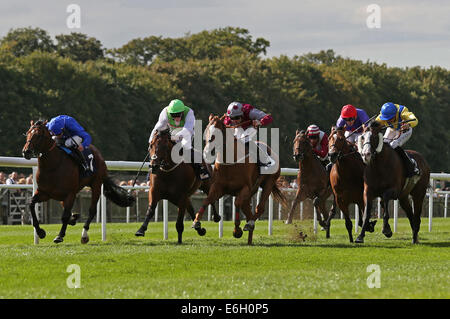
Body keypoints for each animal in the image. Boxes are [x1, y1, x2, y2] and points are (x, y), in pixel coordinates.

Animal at [192, 114, 286, 245]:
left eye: (216, 134)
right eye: (206, 132)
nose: (206, 153)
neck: (230, 162)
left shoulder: (244, 188)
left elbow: (236, 203)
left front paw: (237, 230)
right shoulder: (218, 187)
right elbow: (207, 200)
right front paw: (197, 222)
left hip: (268, 183)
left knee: (259, 208)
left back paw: (250, 224)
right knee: (248, 210)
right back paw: (249, 238)